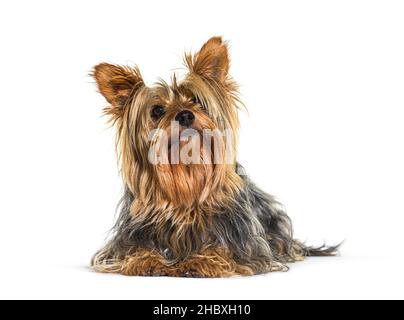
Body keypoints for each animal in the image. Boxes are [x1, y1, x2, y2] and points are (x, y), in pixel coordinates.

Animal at [90, 36, 338, 276]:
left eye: (196, 101)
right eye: (157, 111)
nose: (185, 115)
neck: (187, 179)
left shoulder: (247, 245)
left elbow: (224, 250)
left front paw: (201, 260)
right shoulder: (123, 242)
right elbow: (133, 252)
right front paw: (146, 260)